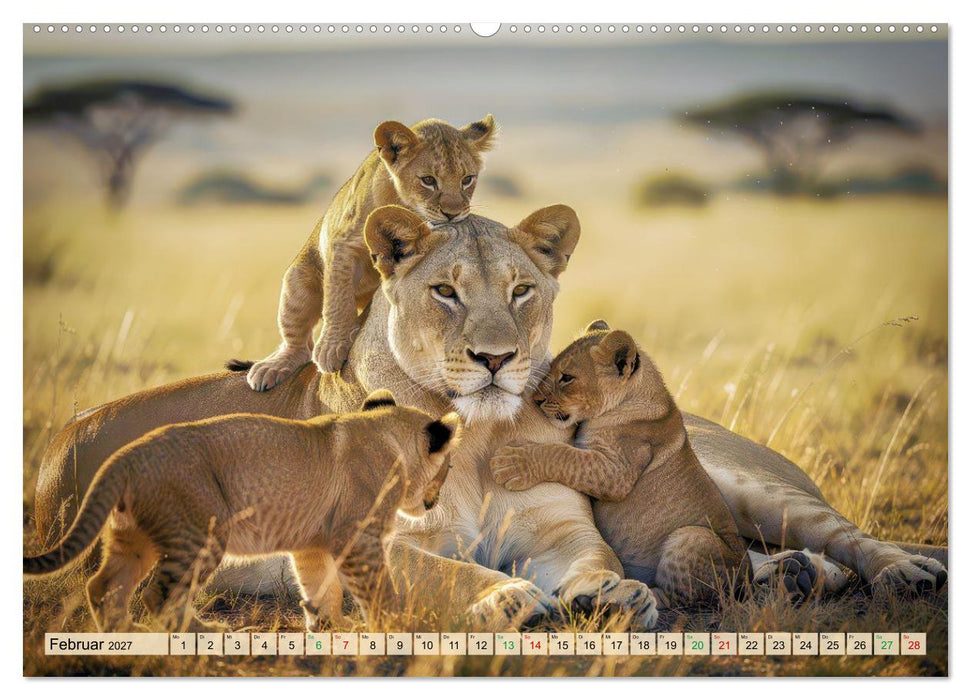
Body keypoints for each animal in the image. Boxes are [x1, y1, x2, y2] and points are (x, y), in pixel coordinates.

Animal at [25, 390, 460, 632]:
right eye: (449, 469)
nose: (436, 500)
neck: (386, 436)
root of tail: (126, 456)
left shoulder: (312, 544)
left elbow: (322, 587)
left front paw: (330, 624)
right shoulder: (357, 538)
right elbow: (378, 588)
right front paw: (395, 626)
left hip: (134, 538)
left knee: (104, 586)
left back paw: (125, 635)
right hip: (202, 532)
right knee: (158, 597)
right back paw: (203, 633)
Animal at [246, 115, 496, 391]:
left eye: (467, 179)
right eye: (428, 180)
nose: (454, 213)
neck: (405, 204)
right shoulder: (343, 244)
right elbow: (338, 299)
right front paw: (332, 348)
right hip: (297, 281)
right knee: (297, 341)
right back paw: (273, 367)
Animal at [490, 320, 751, 607]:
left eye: (567, 377)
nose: (535, 400)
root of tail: (748, 580)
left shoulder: (617, 473)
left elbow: (565, 456)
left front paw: (511, 463)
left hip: (692, 536)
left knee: (679, 597)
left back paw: (633, 594)